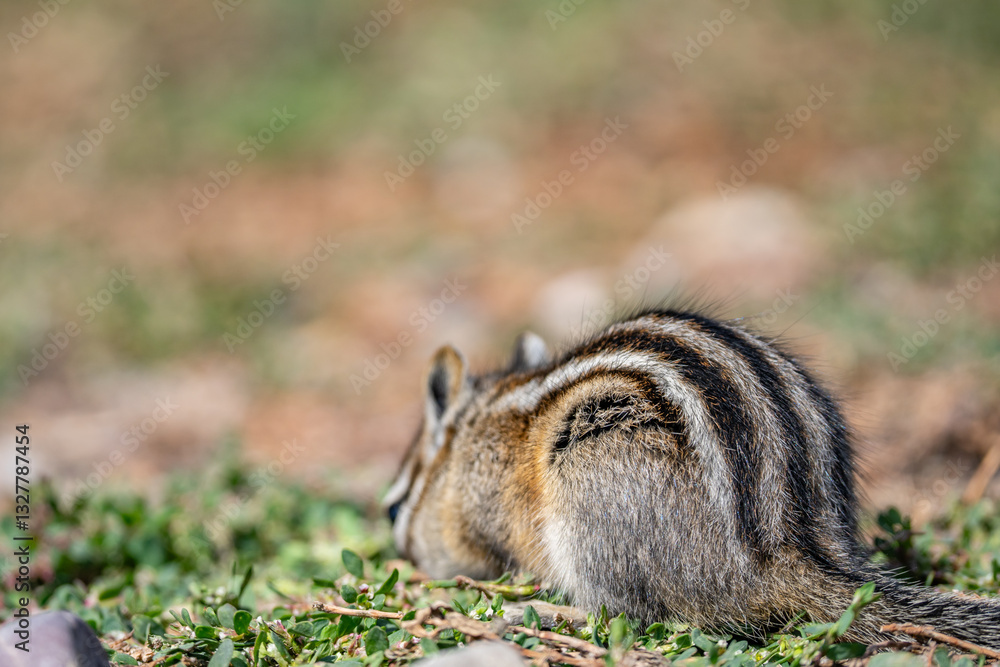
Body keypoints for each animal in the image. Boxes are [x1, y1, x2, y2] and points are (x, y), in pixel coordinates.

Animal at [382, 308, 1000, 645]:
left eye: (393, 509)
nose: (402, 557)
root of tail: (786, 553)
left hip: (592, 490)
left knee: (622, 612)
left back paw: (533, 610)